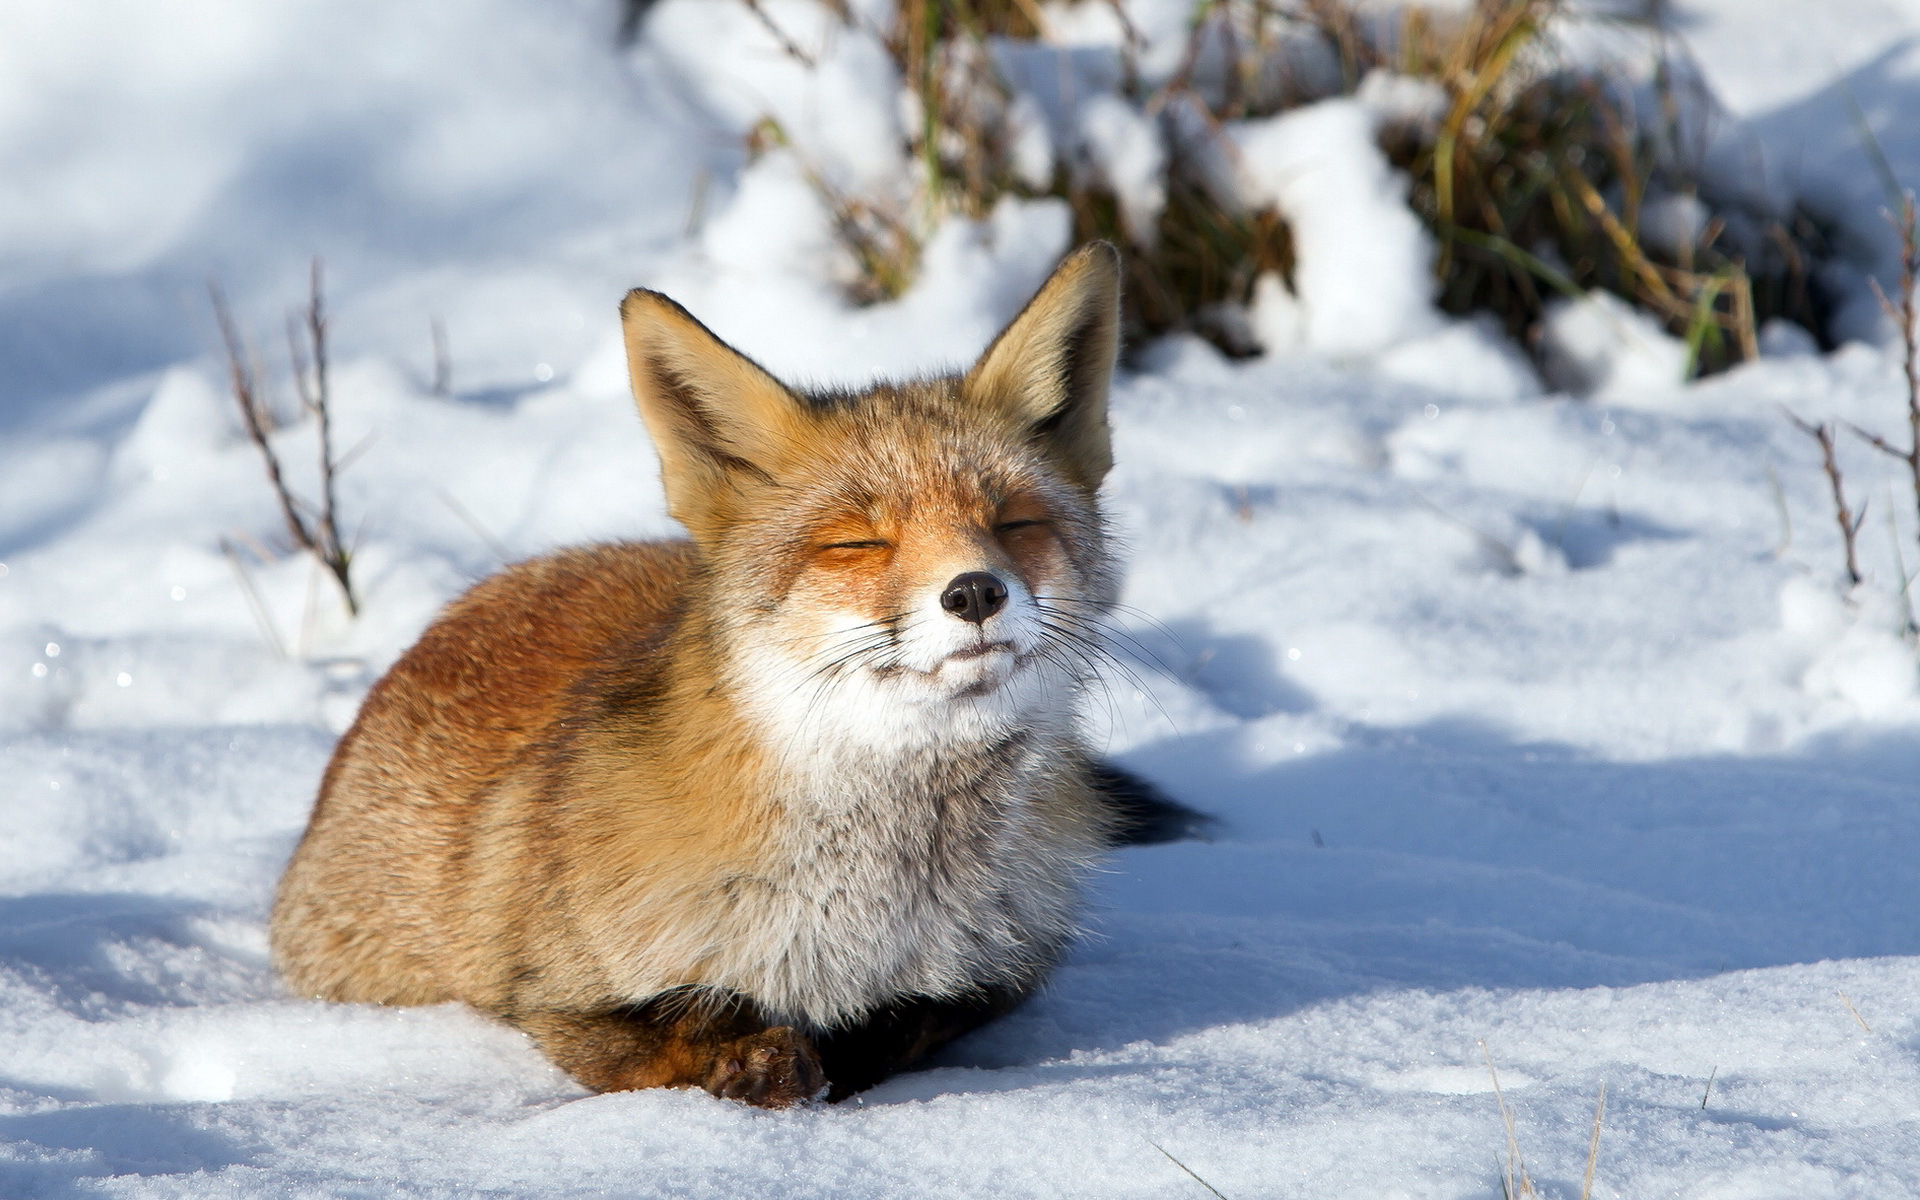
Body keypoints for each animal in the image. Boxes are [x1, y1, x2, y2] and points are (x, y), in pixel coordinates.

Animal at [268, 240, 1167, 1105]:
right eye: (857, 542)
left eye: (1014, 522)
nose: (976, 591)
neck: (883, 901)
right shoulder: (549, 997)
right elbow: (675, 1026)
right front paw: (757, 1059)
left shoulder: (1000, 972)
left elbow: (903, 1024)